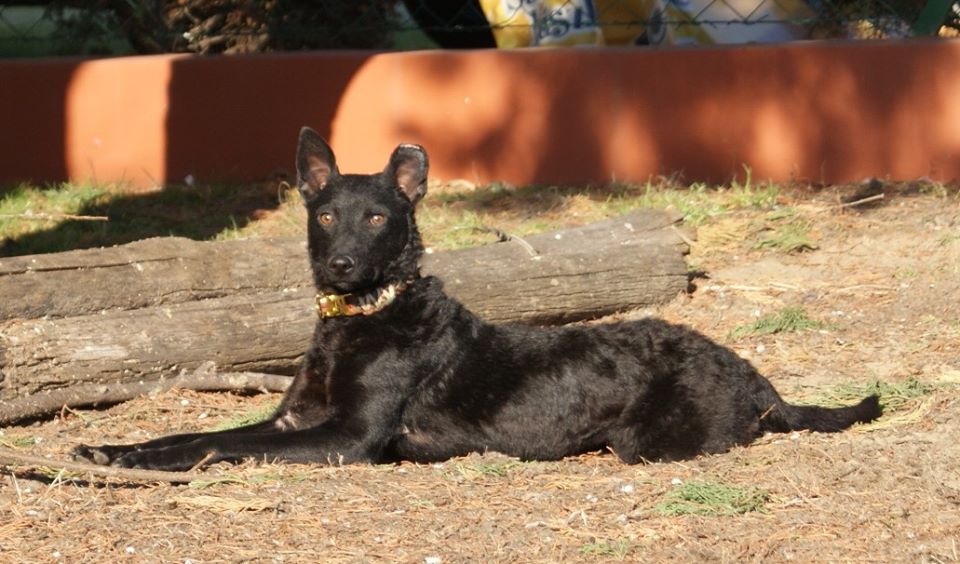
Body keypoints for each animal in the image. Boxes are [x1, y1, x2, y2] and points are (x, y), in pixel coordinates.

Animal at [73, 128, 884, 472]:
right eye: (325, 215)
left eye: (379, 218)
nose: (339, 265)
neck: (364, 317)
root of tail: (758, 378)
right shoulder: (292, 419)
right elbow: (190, 432)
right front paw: (114, 449)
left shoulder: (347, 440)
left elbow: (215, 444)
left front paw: (146, 462)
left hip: (642, 440)